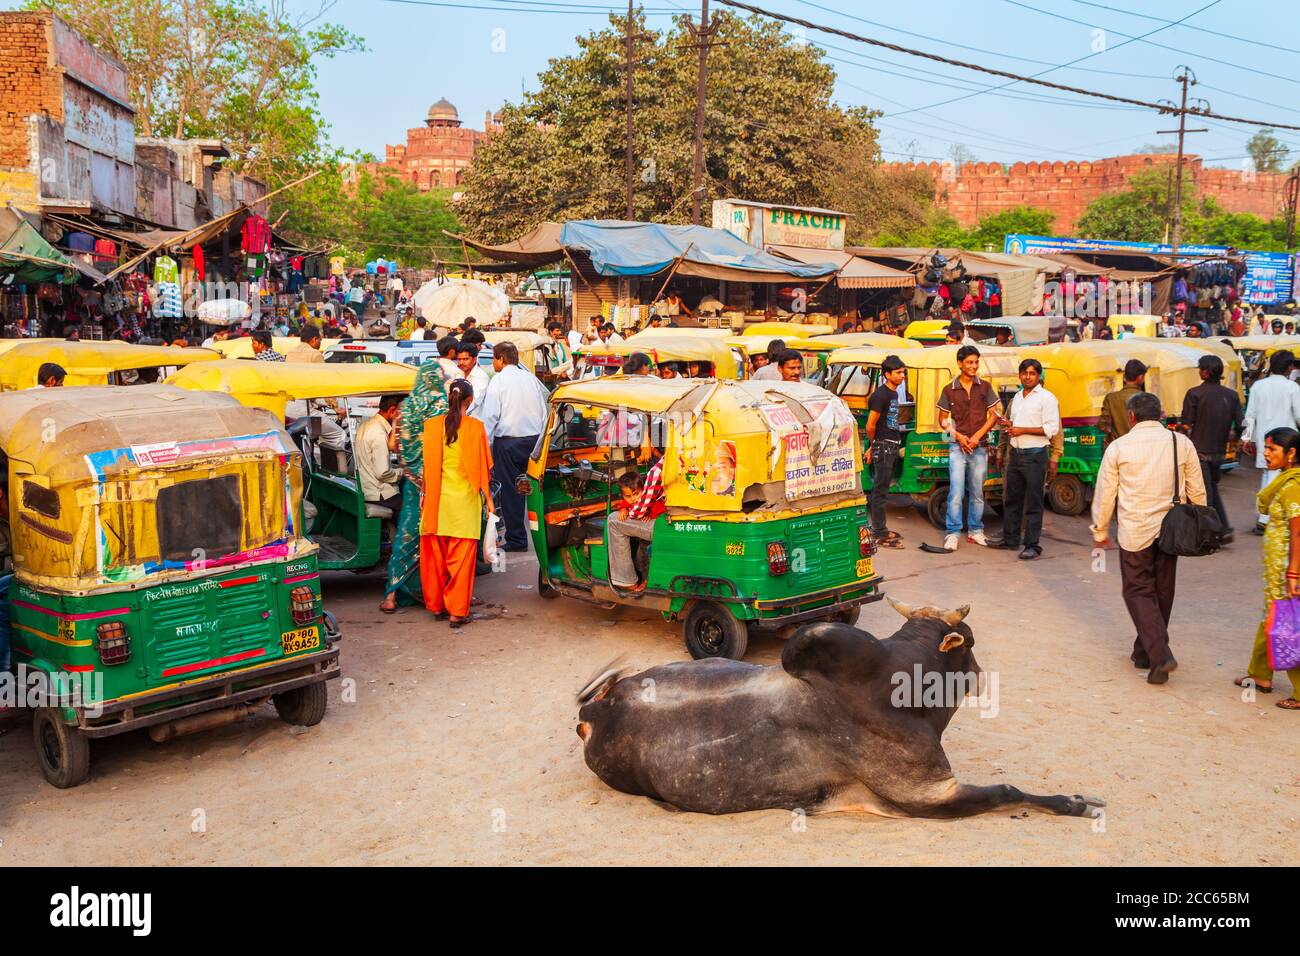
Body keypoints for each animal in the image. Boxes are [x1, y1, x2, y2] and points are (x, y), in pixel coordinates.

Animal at [579, 600, 1107, 816]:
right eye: (970, 643)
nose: (978, 674)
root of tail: (593, 717)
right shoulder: (930, 794)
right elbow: (1007, 790)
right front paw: (1075, 803)